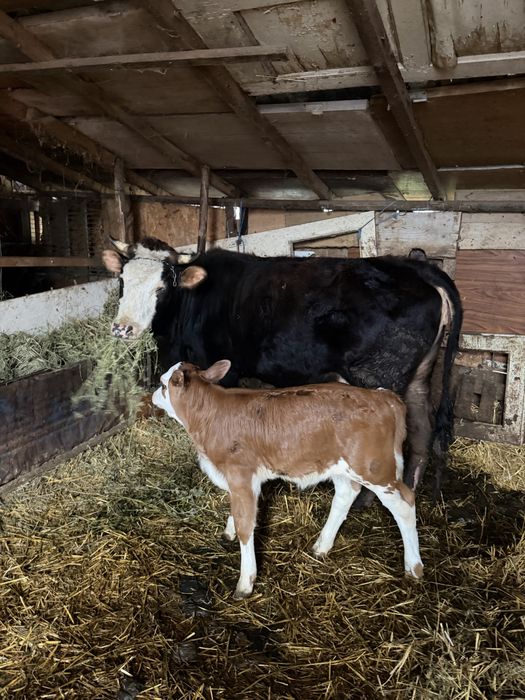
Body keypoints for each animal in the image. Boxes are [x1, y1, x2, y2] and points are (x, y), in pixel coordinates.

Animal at [102, 236, 462, 492]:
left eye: (162, 287)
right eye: (122, 281)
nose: (122, 328)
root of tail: (411, 266)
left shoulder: (223, 371)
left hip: (379, 377)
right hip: (419, 375)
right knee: (422, 429)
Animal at [152, 359, 424, 598]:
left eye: (164, 385)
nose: (153, 394)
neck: (210, 415)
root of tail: (383, 397)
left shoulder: (241, 474)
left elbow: (245, 524)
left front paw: (245, 582)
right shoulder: (241, 480)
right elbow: (239, 512)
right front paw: (228, 531)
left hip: (375, 469)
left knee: (405, 503)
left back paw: (414, 567)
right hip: (340, 466)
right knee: (346, 495)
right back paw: (321, 546)